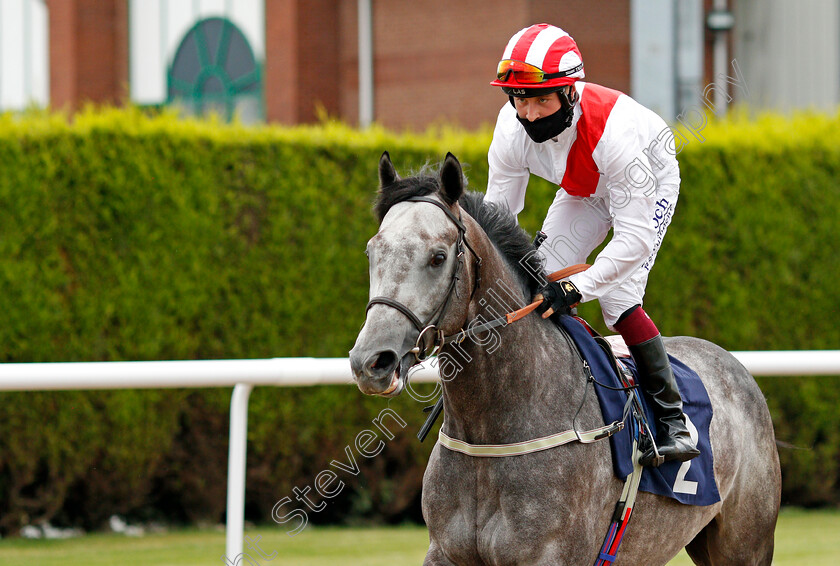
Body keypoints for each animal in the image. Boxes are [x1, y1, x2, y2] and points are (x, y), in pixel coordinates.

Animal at [348, 152, 780, 566]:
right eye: (371, 251)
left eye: (438, 257)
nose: (372, 361)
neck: (489, 428)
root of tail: (734, 365)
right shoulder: (445, 552)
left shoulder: (552, 554)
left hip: (744, 545)